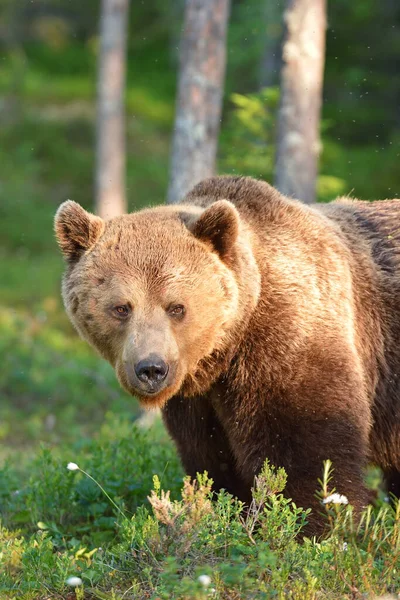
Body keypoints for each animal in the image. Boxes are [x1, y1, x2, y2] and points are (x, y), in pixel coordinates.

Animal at [54, 176, 400, 532]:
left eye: (176, 307)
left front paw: (311, 524)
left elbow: (309, 449)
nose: (151, 369)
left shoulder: (294, 344)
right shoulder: (198, 402)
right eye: (122, 308)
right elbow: (215, 461)